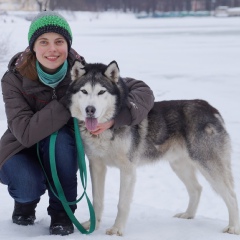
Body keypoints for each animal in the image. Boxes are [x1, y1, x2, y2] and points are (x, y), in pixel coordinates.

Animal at [68, 60, 240, 236]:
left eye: (101, 91)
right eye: (84, 91)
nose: (90, 110)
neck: (107, 130)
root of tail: (210, 108)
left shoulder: (128, 168)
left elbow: (122, 203)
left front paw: (117, 229)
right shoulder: (97, 166)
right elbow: (97, 200)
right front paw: (92, 225)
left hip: (208, 164)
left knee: (231, 195)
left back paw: (233, 227)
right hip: (180, 166)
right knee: (197, 189)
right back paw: (188, 215)